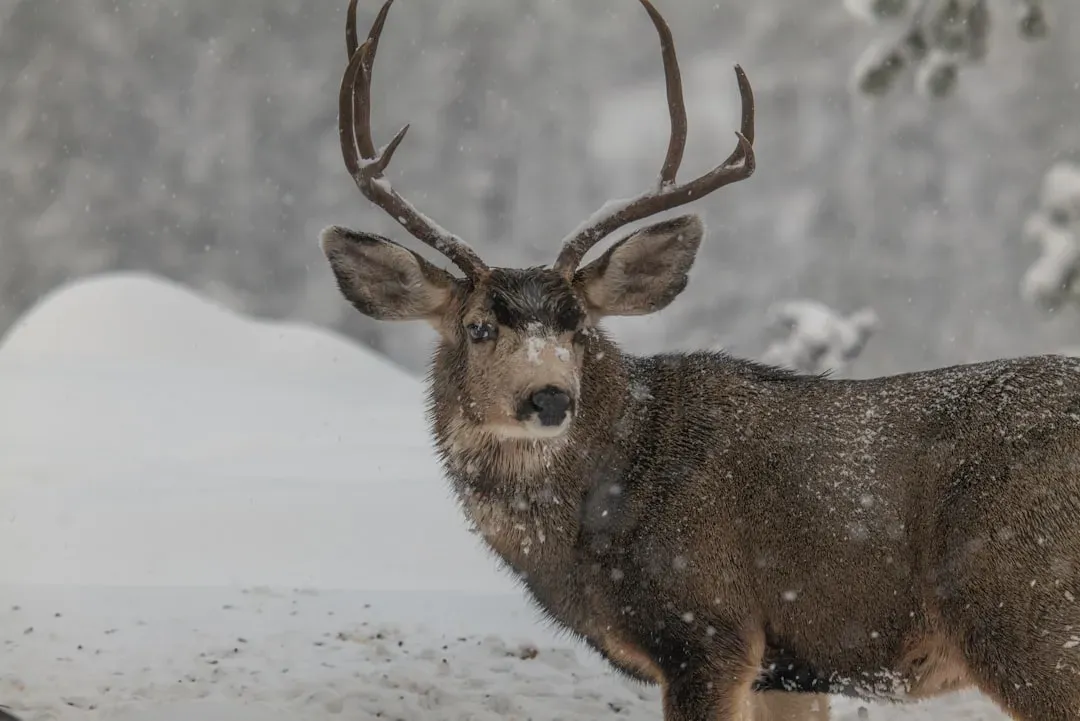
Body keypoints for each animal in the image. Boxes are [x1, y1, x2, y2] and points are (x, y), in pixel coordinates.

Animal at [319, 1, 1080, 719]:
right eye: (478, 327)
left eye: (579, 326)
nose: (550, 396)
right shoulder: (791, 668)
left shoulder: (707, 630)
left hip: (1025, 611)